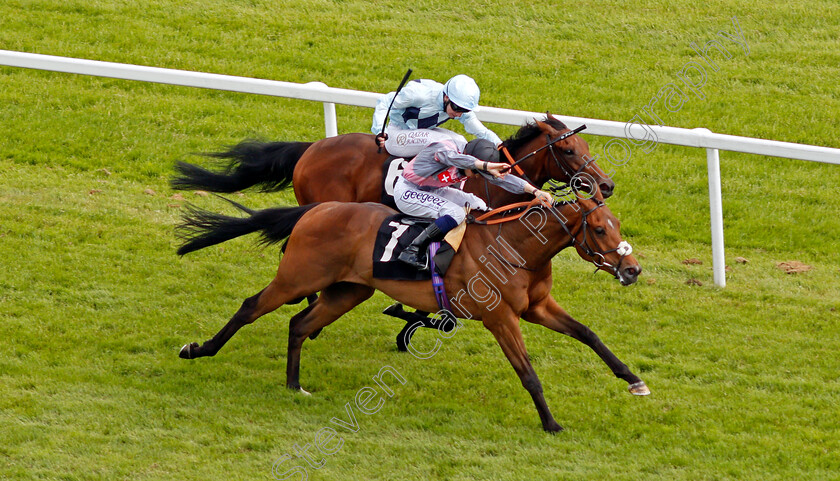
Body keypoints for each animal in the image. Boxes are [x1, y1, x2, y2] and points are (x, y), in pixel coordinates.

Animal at [176, 195, 648, 432]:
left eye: (618, 226)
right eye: (600, 229)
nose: (632, 269)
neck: (516, 246)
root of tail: (318, 208)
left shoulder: (536, 307)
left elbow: (588, 333)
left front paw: (634, 381)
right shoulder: (500, 317)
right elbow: (528, 373)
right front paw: (551, 424)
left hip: (348, 291)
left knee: (299, 324)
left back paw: (295, 384)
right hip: (298, 278)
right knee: (251, 307)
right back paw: (198, 350)